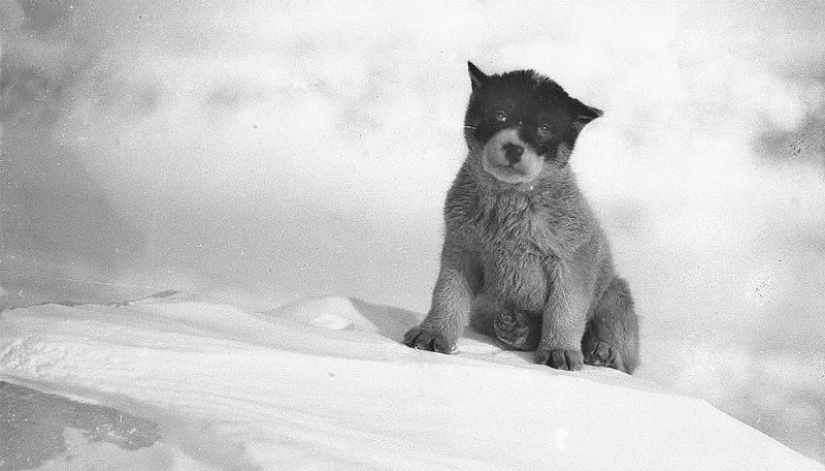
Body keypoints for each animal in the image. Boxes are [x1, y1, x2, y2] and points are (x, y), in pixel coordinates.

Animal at [402, 61, 640, 376]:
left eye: (544, 129)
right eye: (500, 114)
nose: (514, 148)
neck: (509, 202)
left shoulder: (572, 260)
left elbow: (565, 310)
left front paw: (560, 351)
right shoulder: (461, 250)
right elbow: (447, 296)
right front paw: (432, 334)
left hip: (615, 294)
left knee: (622, 354)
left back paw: (602, 351)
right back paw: (518, 329)